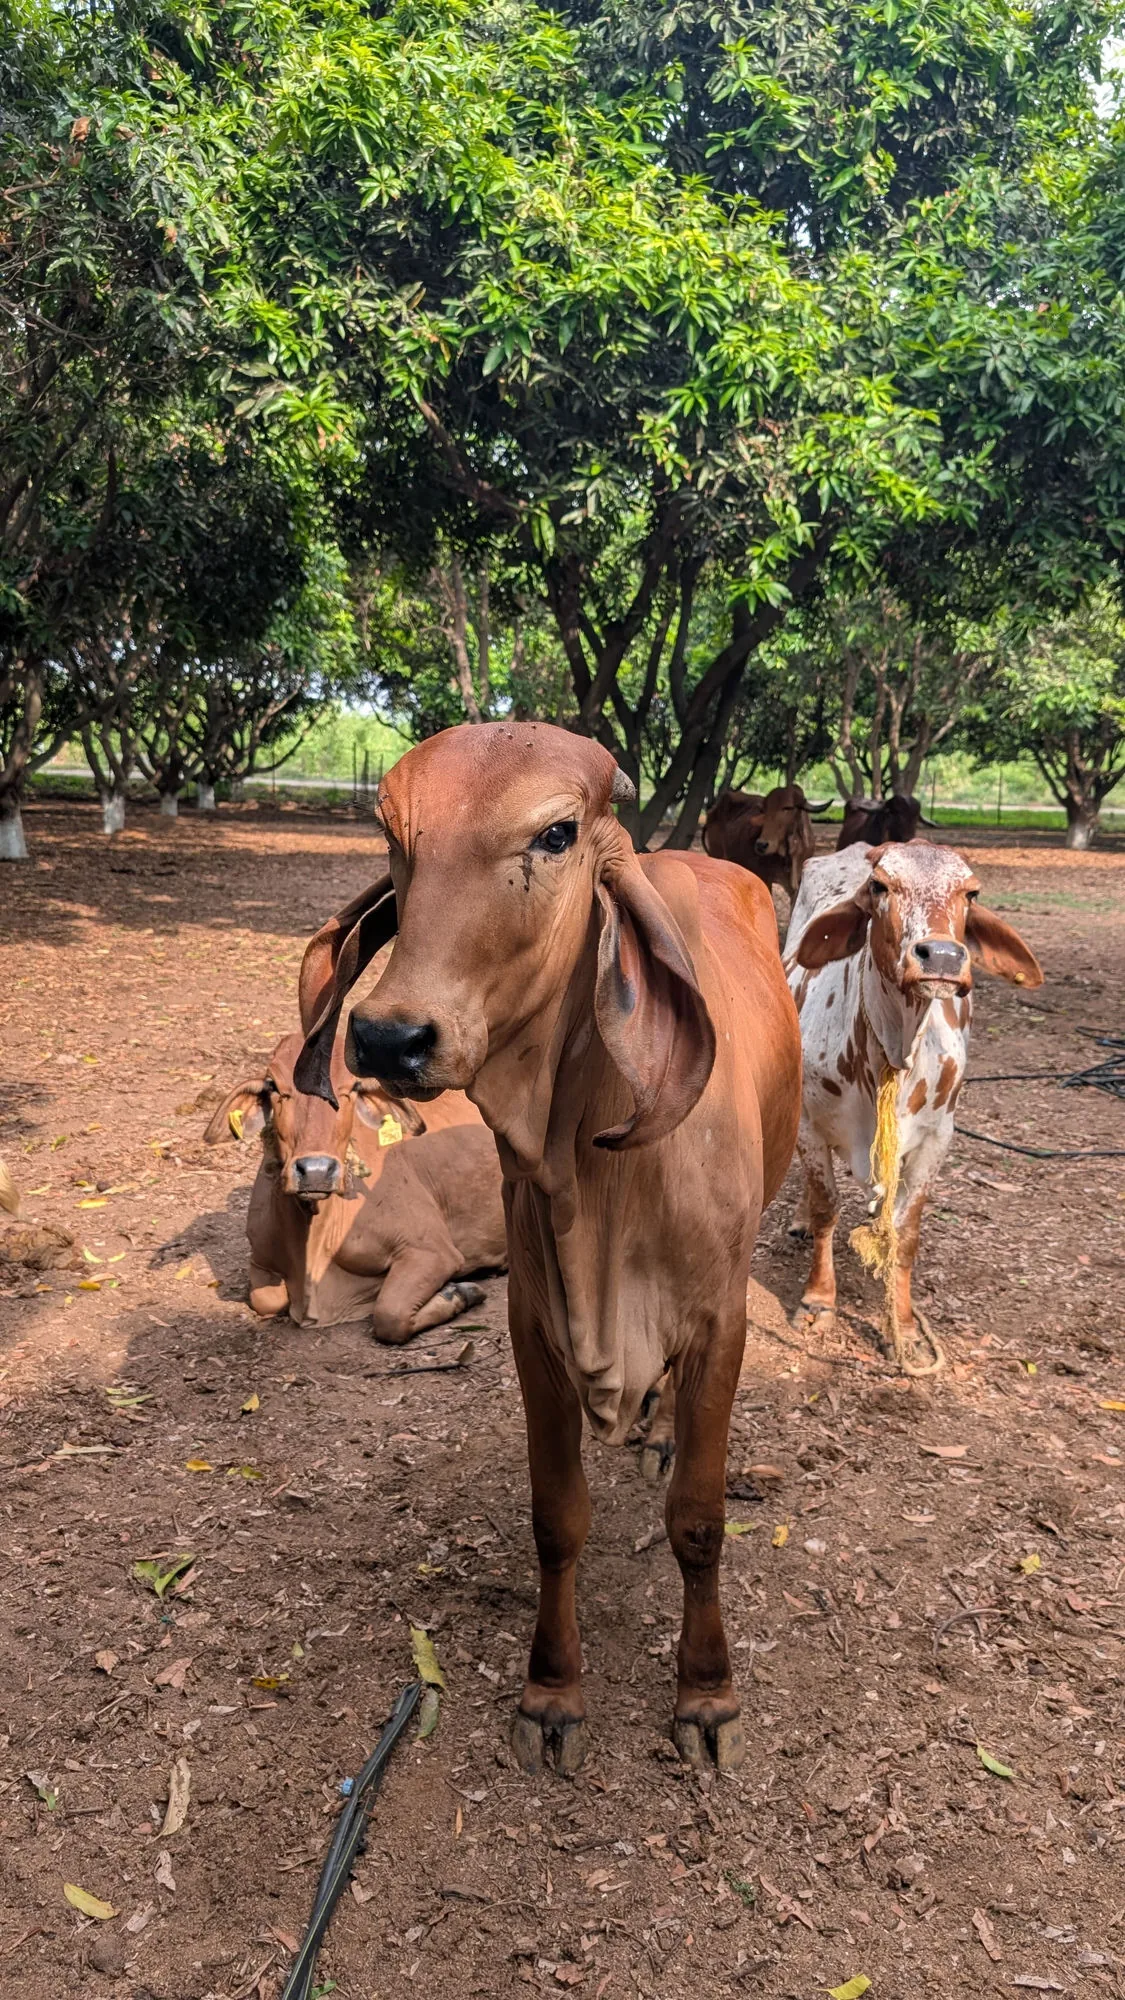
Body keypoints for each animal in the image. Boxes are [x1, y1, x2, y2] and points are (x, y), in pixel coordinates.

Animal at [204, 1032, 506, 1342]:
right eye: (275, 1086)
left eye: (351, 1087)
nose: (316, 1171)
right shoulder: (260, 1258)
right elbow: (265, 1299)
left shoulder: (432, 1250)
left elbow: (390, 1315)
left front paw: (460, 1292)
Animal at [293, 720, 802, 1774]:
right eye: (391, 834)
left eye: (557, 834)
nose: (390, 1037)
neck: (593, 1167)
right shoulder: (535, 1324)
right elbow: (556, 1518)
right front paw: (552, 1690)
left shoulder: (722, 1319)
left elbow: (698, 1521)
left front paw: (705, 1694)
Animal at [785, 842, 1042, 1357]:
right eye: (880, 886)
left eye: (971, 892)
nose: (940, 955)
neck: (892, 1050)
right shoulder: (809, 1122)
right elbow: (826, 1208)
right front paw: (818, 1301)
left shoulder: (936, 1139)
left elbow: (905, 1233)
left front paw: (901, 1326)